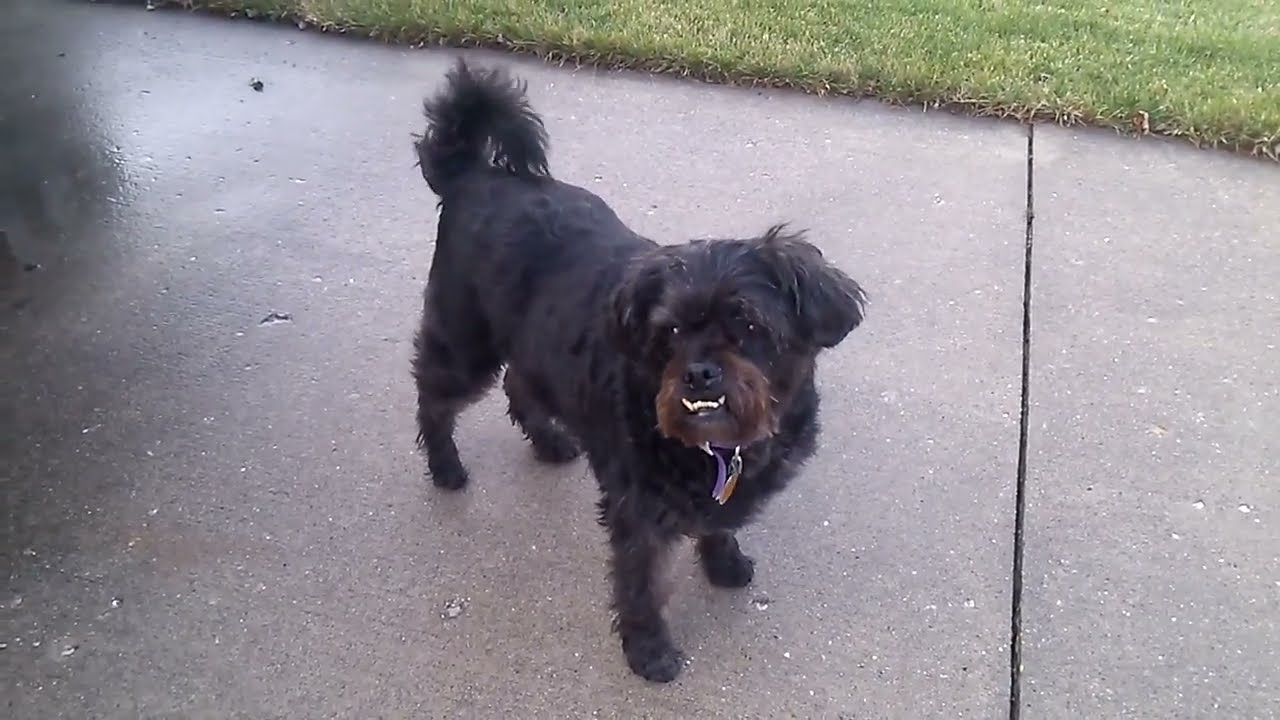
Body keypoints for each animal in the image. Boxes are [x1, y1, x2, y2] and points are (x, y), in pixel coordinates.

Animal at [409, 60, 870, 676]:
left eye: (748, 325)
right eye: (669, 332)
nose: (699, 372)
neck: (718, 449)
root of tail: (471, 174)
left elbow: (717, 525)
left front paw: (723, 564)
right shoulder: (638, 514)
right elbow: (640, 583)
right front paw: (649, 649)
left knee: (519, 382)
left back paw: (548, 441)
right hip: (465, 342)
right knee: (434, 396)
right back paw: (445, 466)